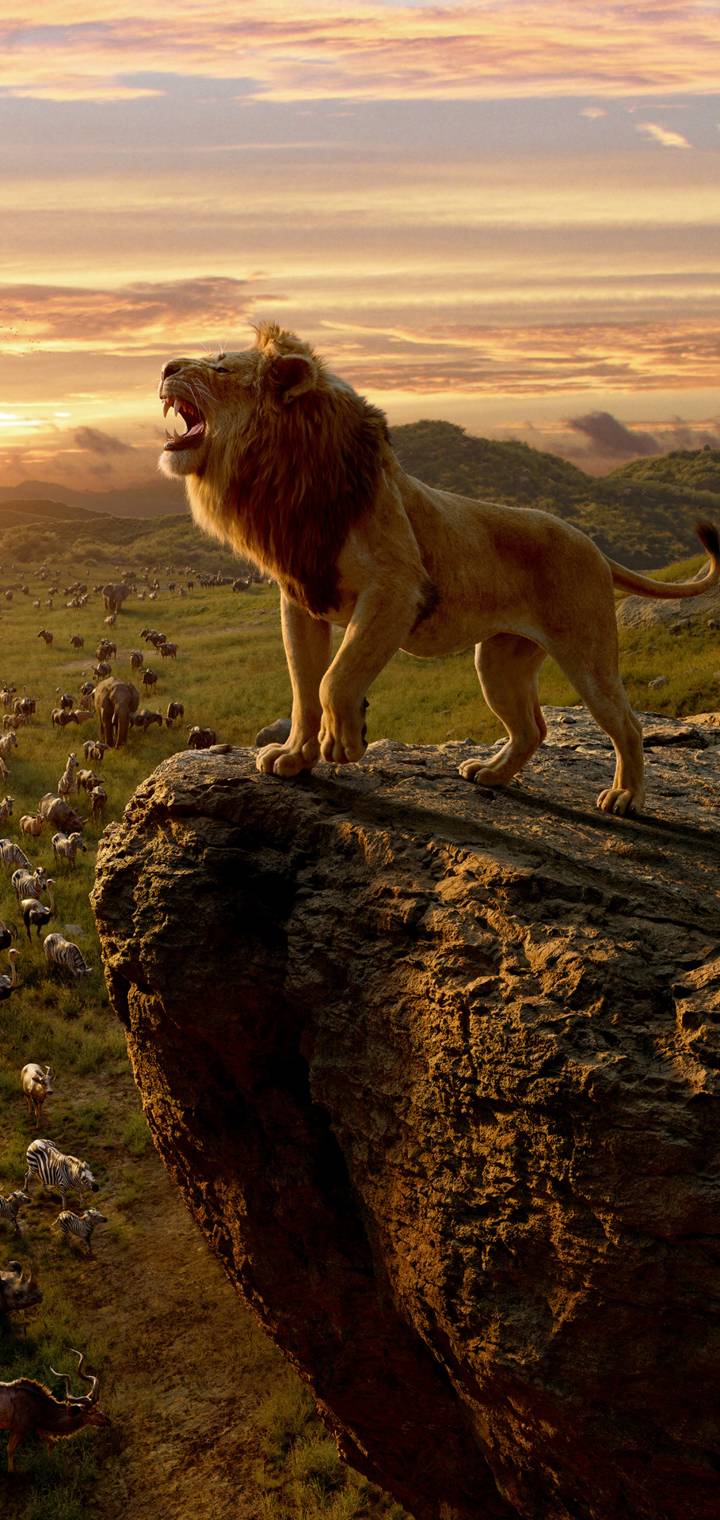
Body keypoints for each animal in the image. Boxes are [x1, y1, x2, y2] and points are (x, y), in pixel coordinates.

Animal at [159, 323, 719, 816]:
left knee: (626, 722)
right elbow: (303, 687)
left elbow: (335, 678)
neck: (283, 480)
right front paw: (295, 757)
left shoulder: (397, 589)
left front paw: (344, 742)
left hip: (587, 653)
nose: (165, 367)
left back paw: (626, 797)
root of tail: (595, 547)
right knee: (532, 728)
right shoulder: (301, 598)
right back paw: (490, 774)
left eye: (219, 365)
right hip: (499, 662)